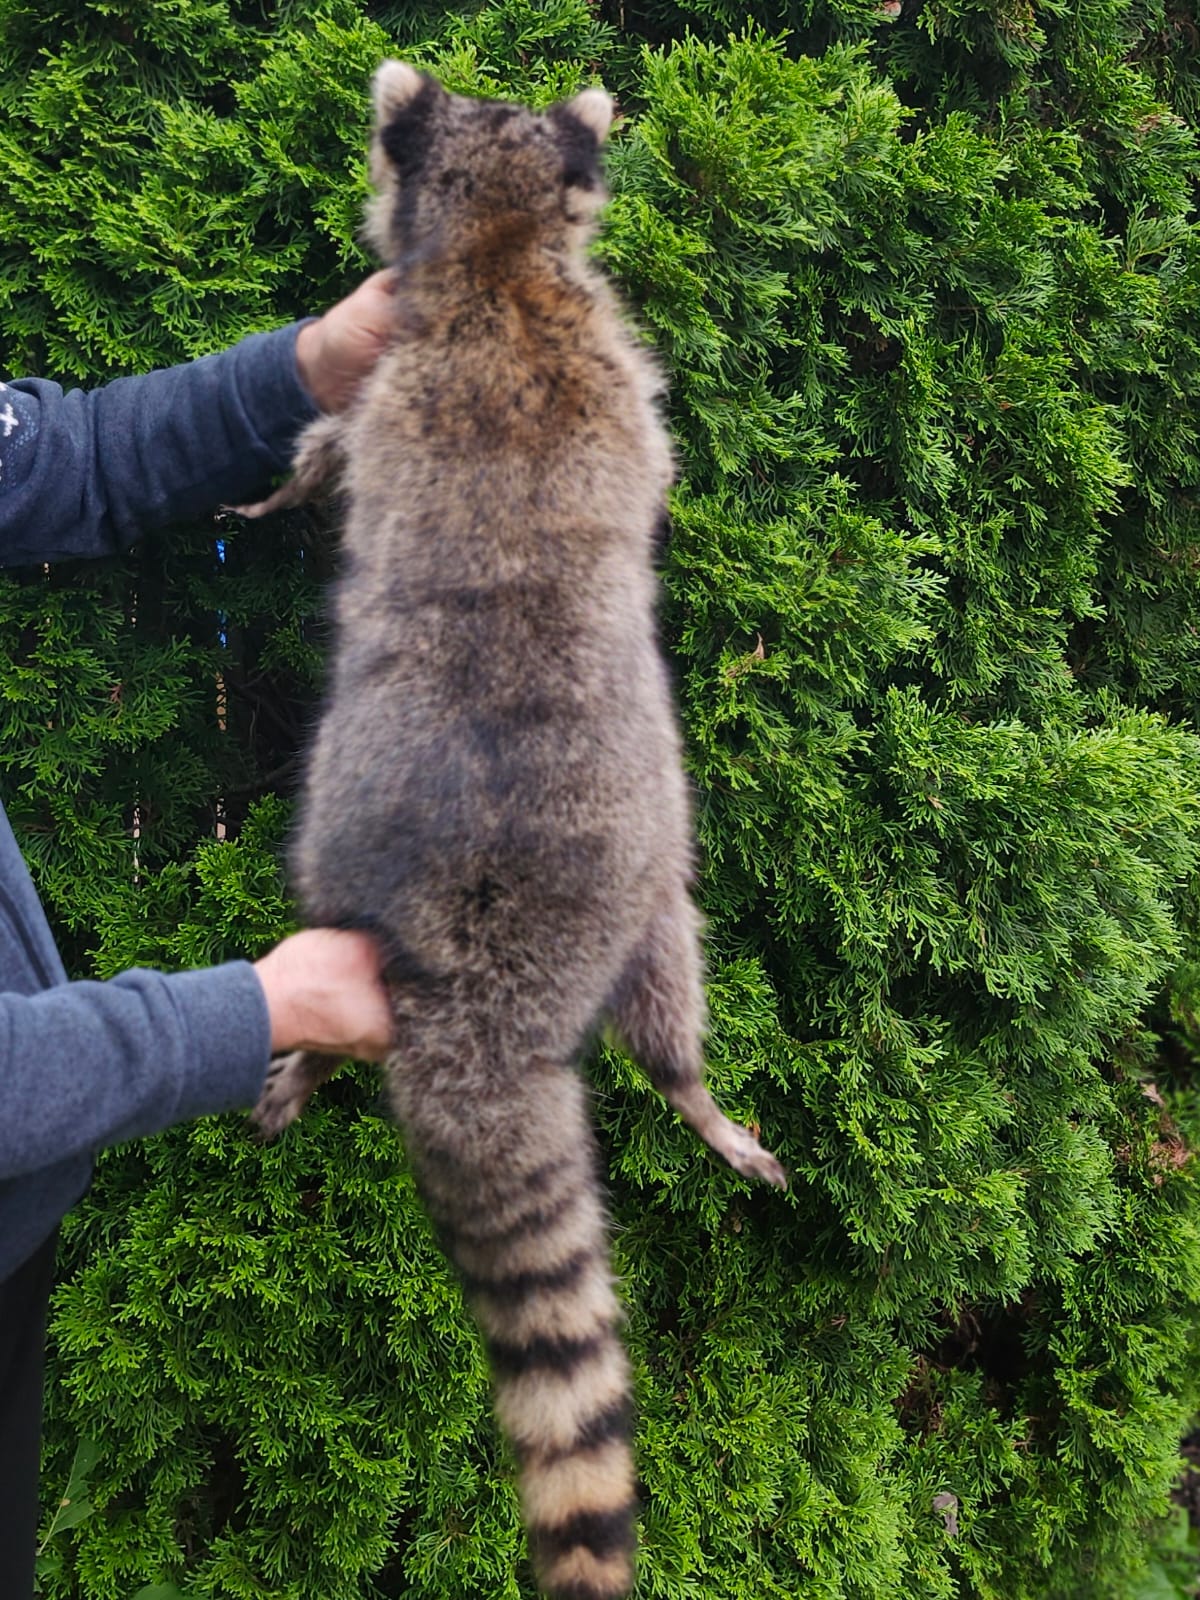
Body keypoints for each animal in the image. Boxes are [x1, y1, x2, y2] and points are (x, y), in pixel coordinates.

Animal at [250, 61, 786, 1600]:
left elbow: (333, 442)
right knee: (668, 1002)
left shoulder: (458, 363)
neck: (499, 262)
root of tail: (485, 991)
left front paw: (290, 483)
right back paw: (693, 1094)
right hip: (641, 887)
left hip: (541, 879)